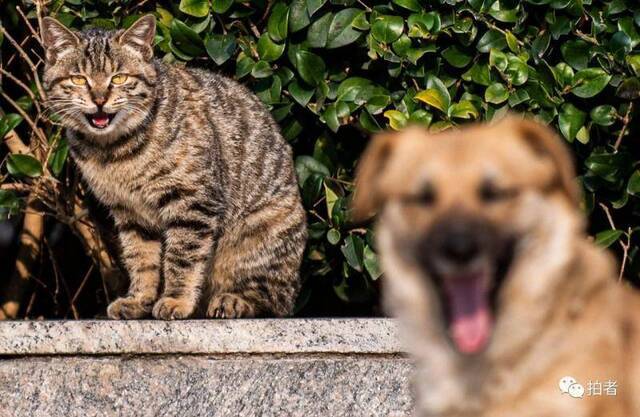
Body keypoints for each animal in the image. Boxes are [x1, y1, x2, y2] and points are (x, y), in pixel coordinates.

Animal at [42, 13, 308, 318]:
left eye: (119, 78)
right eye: (78, 79)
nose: (99, 99)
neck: (112, 152)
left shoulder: (192, 201)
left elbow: (181, 257)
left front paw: (175, 300)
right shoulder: (130, 213)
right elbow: (141, 259)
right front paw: (138, 299)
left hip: (260, 233)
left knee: (272, 298)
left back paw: (233, 300)